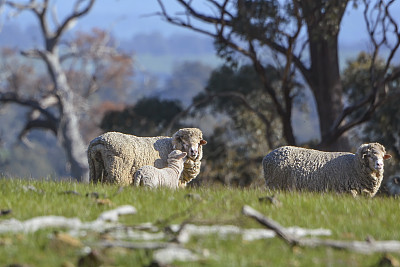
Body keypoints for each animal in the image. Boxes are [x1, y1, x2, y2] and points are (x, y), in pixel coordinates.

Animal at [262, 143, 390, 198]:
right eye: (369, 156)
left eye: (383, 156)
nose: (379, 164)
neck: (353, 165)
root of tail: (267, 156)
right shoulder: (348, 192)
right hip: (275, 184)